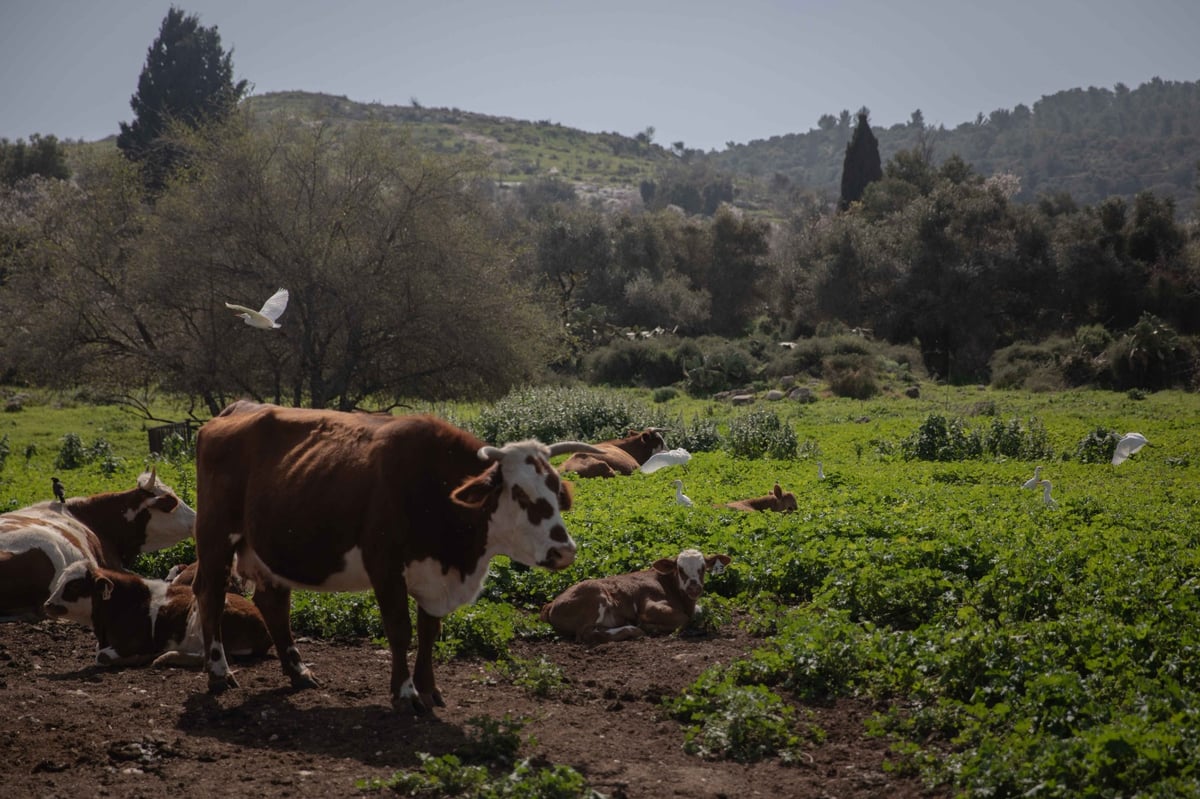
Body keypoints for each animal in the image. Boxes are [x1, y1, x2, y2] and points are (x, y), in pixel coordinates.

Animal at [43, 559, 271, 667]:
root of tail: (264, 627)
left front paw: (142, 657)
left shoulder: (134, 643)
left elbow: (103, 656)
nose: (47, 604)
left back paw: (163, 656)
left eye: (75, 586)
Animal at [193, 405, 604, 710]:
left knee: (273, 603)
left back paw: (298, 671)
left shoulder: (434, 575)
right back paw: (218, 672)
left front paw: (429, 689)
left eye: (556, 491)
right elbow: (400, 629)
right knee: (211, 595)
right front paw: (405, 692)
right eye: (519, 493)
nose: (564, 551)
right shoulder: (385, 566)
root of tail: (234, 410)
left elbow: (428, 631)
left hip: (267, 545)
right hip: (215, 537)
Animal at [537, 547, 729, 643]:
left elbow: (700, 612)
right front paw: (651, 627)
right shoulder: (649, 606)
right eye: (680, 569)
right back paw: (632, 630)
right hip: (595, 595)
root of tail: (551, 603)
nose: (694, 588)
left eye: (702, 568)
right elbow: (683, 619)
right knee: (587, 634)